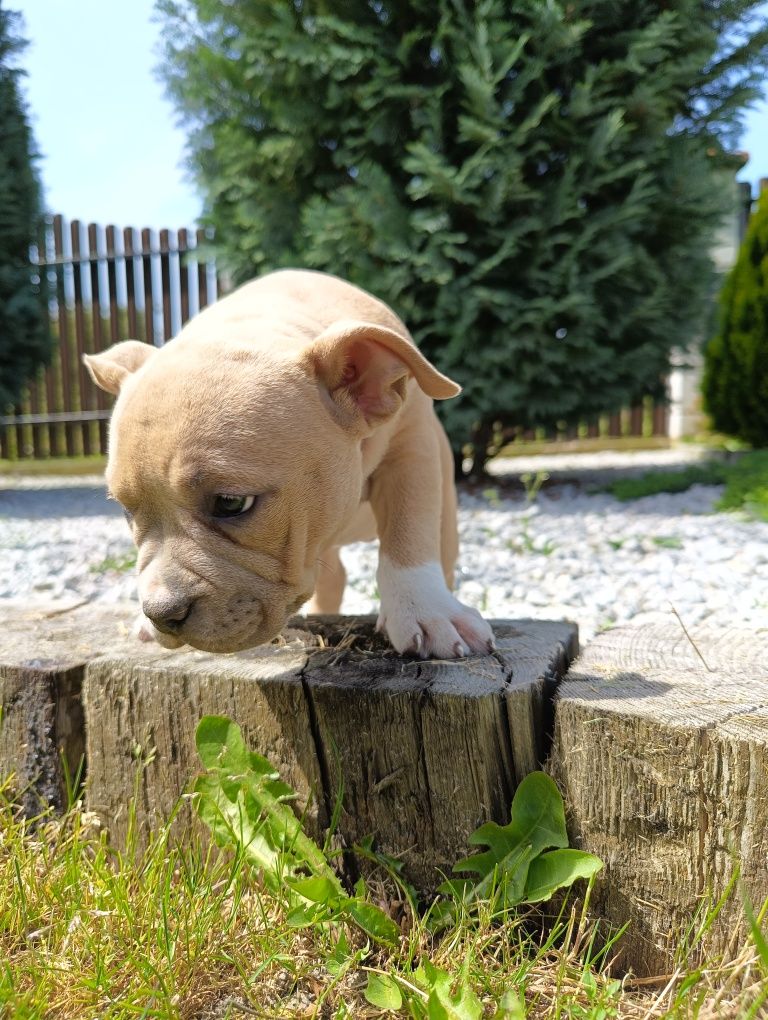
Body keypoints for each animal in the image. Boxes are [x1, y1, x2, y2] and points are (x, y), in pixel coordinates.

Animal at [83, 267, 491, 656]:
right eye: (126, 511)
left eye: (231, 503)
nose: (161, 614)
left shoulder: (411, 449)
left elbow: (408, 532)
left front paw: (426, 611)